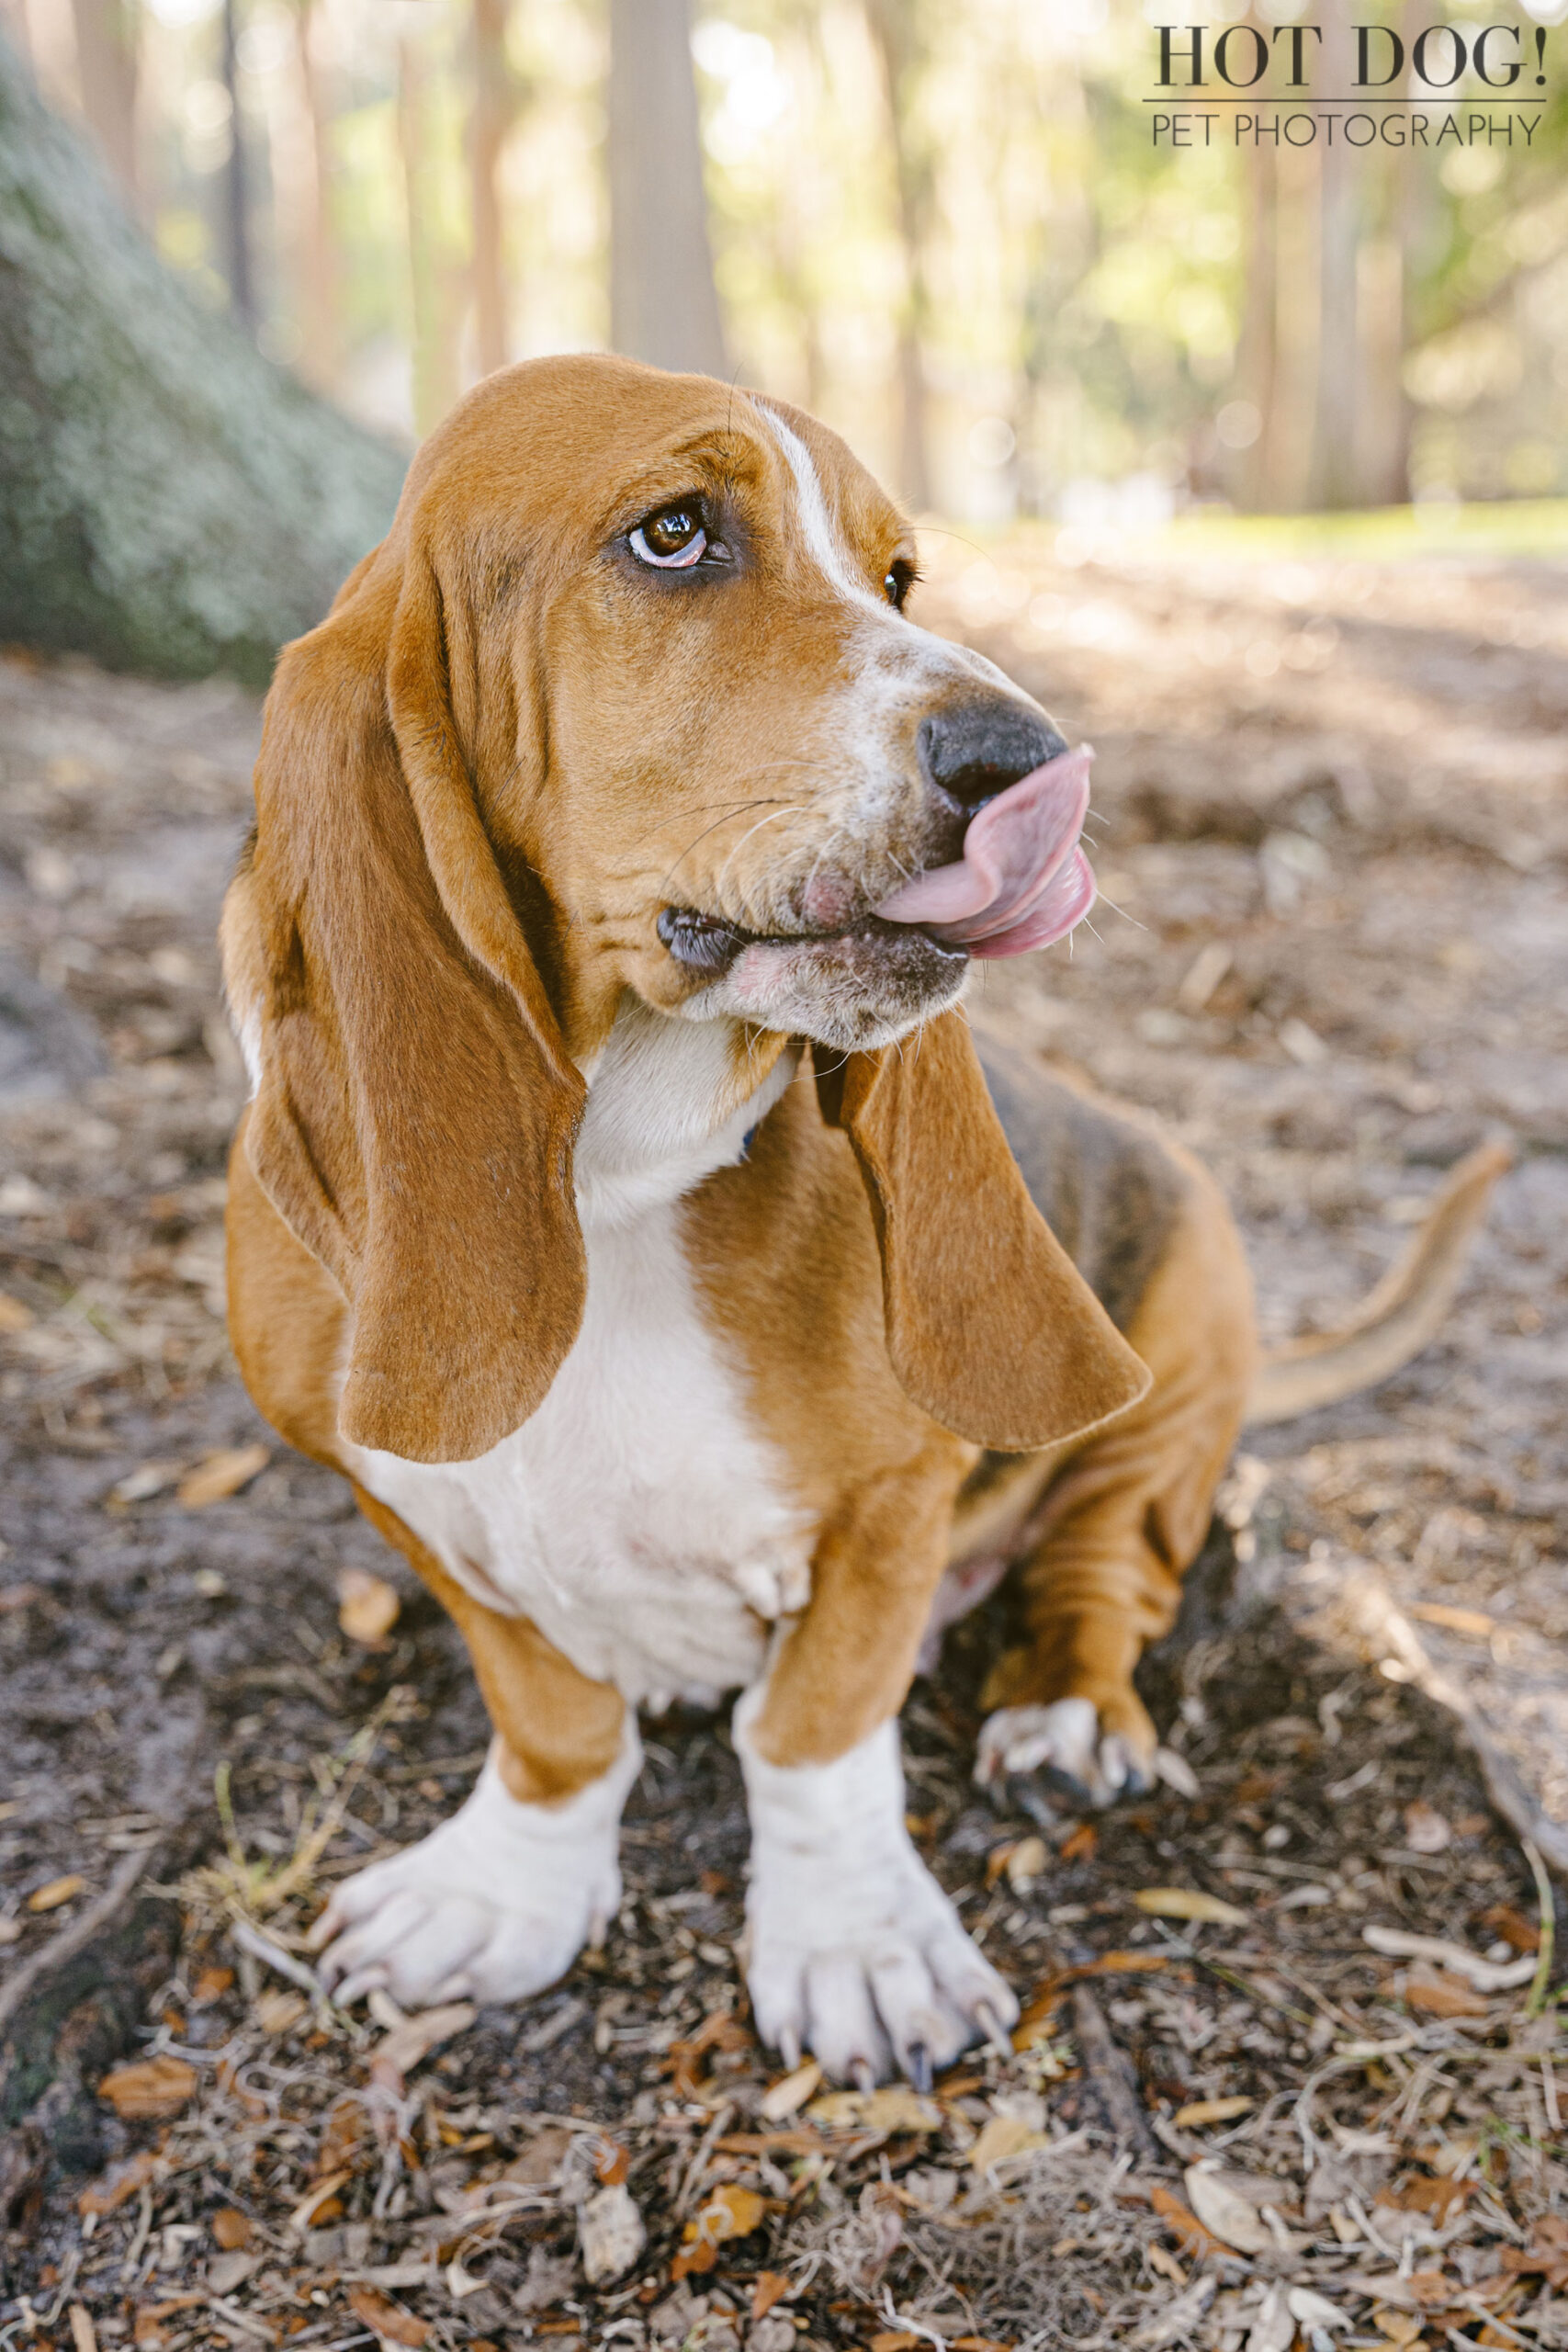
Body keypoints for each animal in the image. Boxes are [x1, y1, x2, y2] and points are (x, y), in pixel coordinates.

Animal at [220, 347, 1504, 2079]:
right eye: (673, 534)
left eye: (897, 575)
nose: (1027, 759)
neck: (618, 1184)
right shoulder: (401, 1500)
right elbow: (552, 1718)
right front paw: (498, 1893)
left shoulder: (894, 1502)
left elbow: (814, 1729)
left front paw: (854, 1947)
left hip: (1173, 1370)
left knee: (1106, 1571)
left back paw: (1064, 1709)